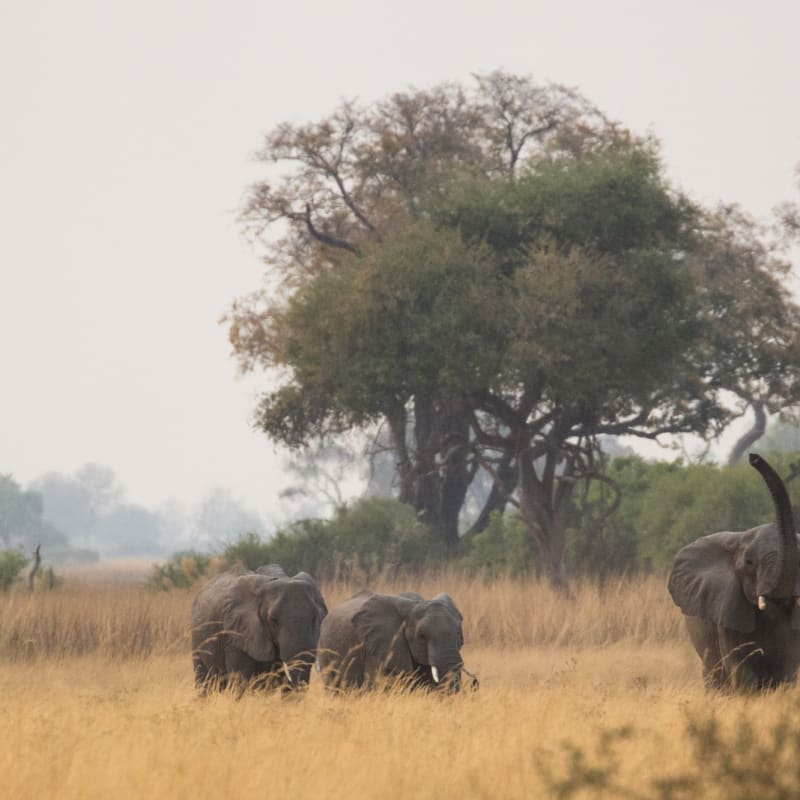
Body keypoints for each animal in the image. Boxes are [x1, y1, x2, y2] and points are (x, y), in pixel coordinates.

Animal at [191, 563, 327, 692]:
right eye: (273, 620)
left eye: (315, 618)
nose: (287, 682)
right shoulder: (234, 633)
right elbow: (241, 679)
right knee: (204, 682)